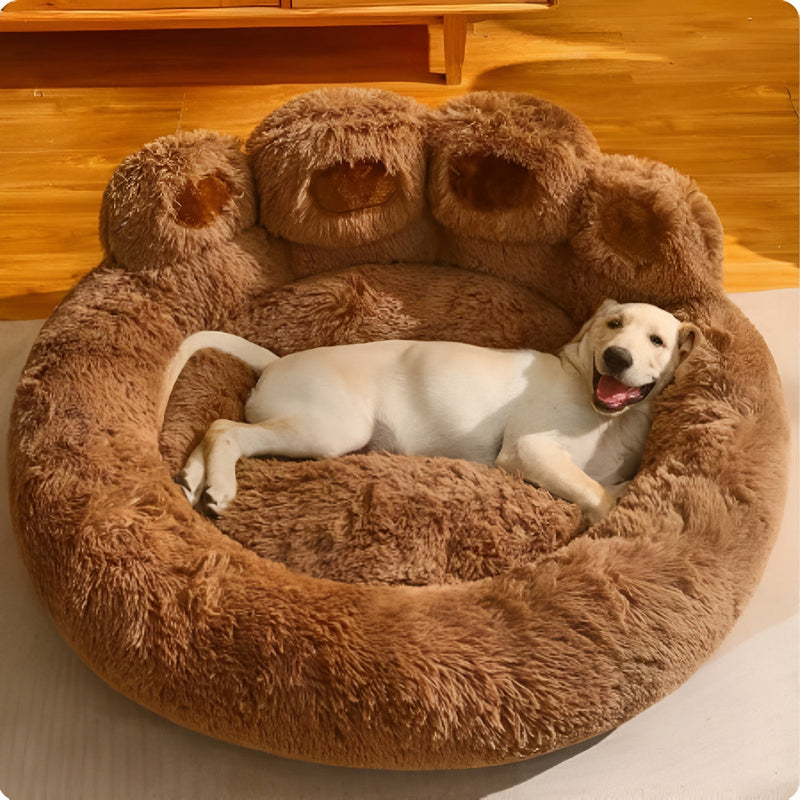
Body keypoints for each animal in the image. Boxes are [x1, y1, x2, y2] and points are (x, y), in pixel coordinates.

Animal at [166, 300, 696, 524]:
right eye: (614, 324)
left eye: (657, 341)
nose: (616, 358)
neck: (608, 416)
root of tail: (275, 362)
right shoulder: (530, 449)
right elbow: (598, 494)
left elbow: (607, 486)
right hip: (332, 429)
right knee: (225, 428)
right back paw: (220, 488)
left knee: (215, 430)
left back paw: (195, 480)